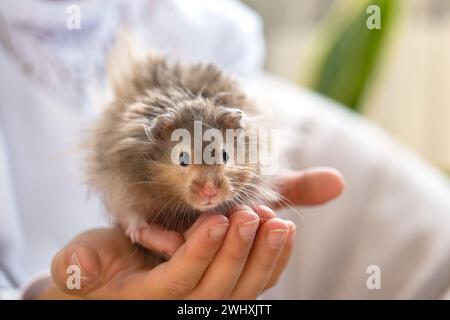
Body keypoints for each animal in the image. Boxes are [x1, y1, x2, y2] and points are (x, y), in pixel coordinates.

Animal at [86, 51, 280, 244]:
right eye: (183, 159)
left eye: (225, 155)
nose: (210, 192)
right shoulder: (120, 183)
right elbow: (131, 213)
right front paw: (137, 233)